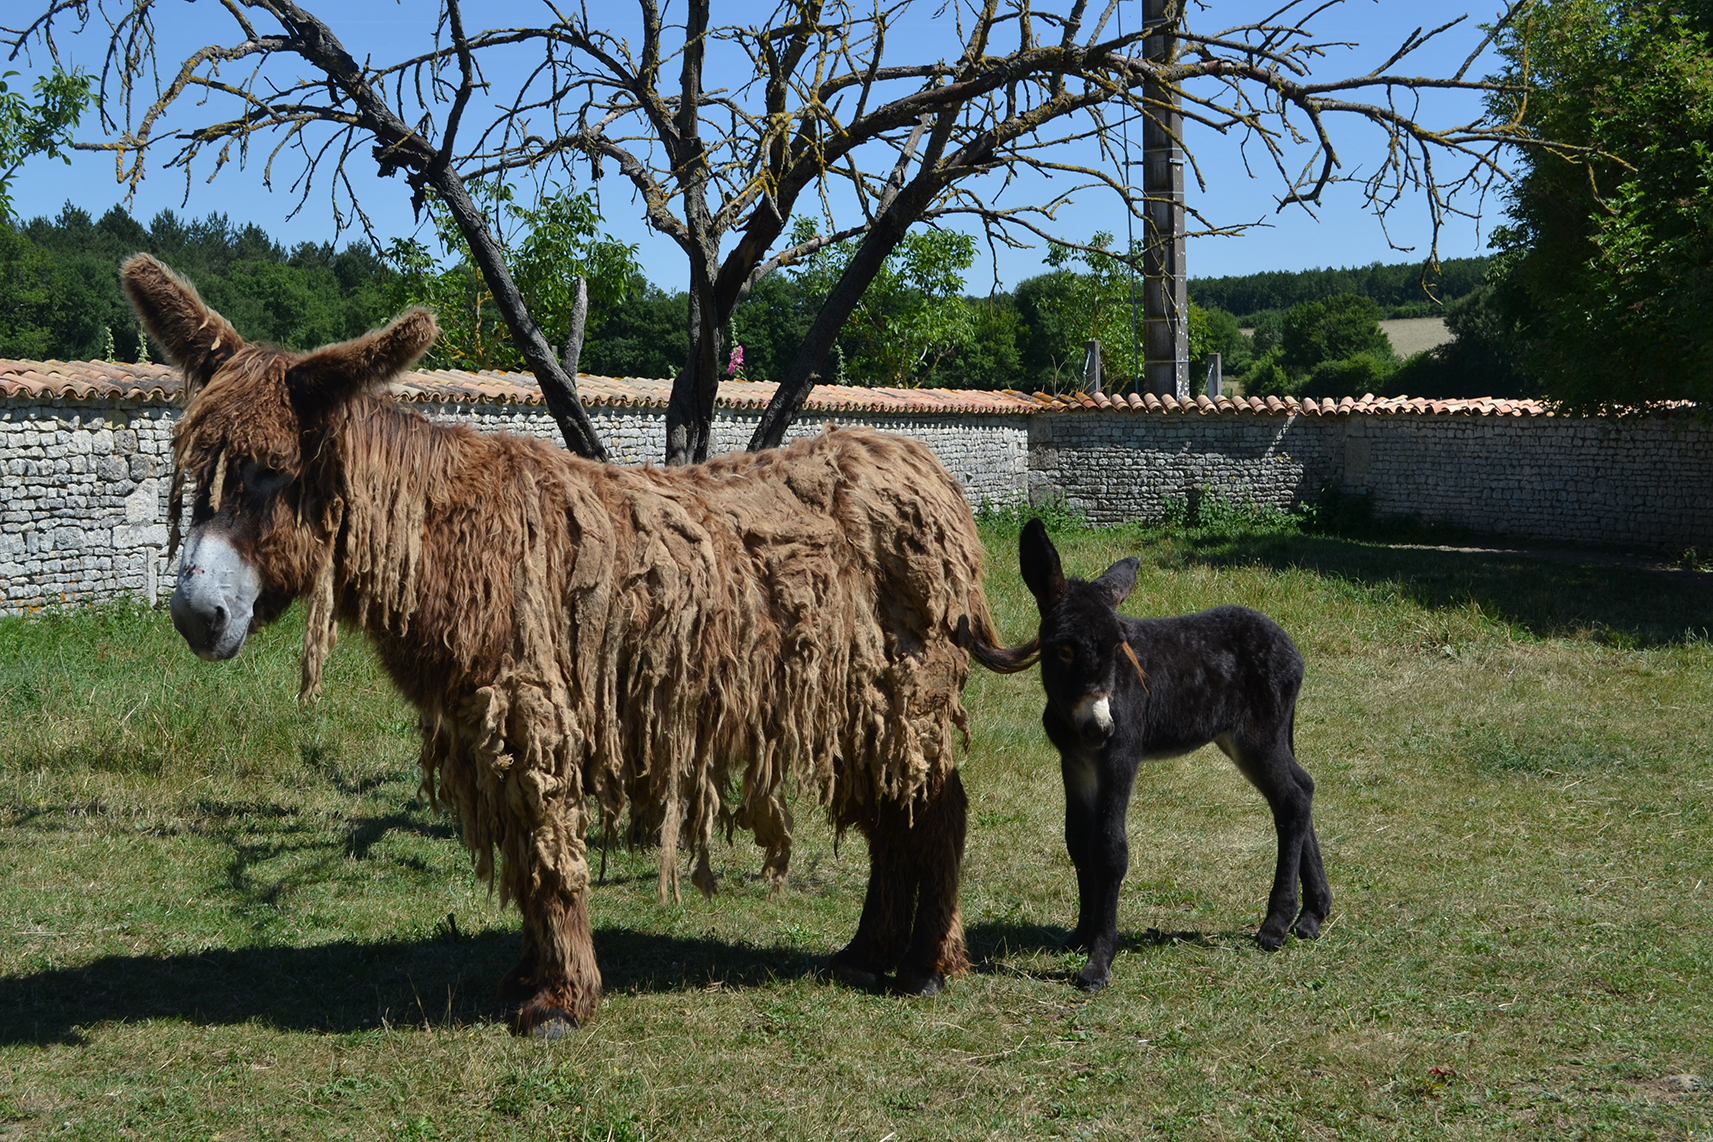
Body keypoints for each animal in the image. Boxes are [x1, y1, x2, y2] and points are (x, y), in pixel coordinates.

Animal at [972, 520, 1329, 993]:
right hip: (1245, 739)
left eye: (1116, 647)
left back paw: (1275, 925)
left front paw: (1098, 960)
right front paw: (1081, 933)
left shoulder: (1120, 758)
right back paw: (1311, 915)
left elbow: (1109, 849)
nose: (1100, 727)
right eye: (1064, 649)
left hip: (1258, 737)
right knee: (1299, 791)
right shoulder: (1075, 763)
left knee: (1291, 798)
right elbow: (1078, 842)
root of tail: (1288, 644)